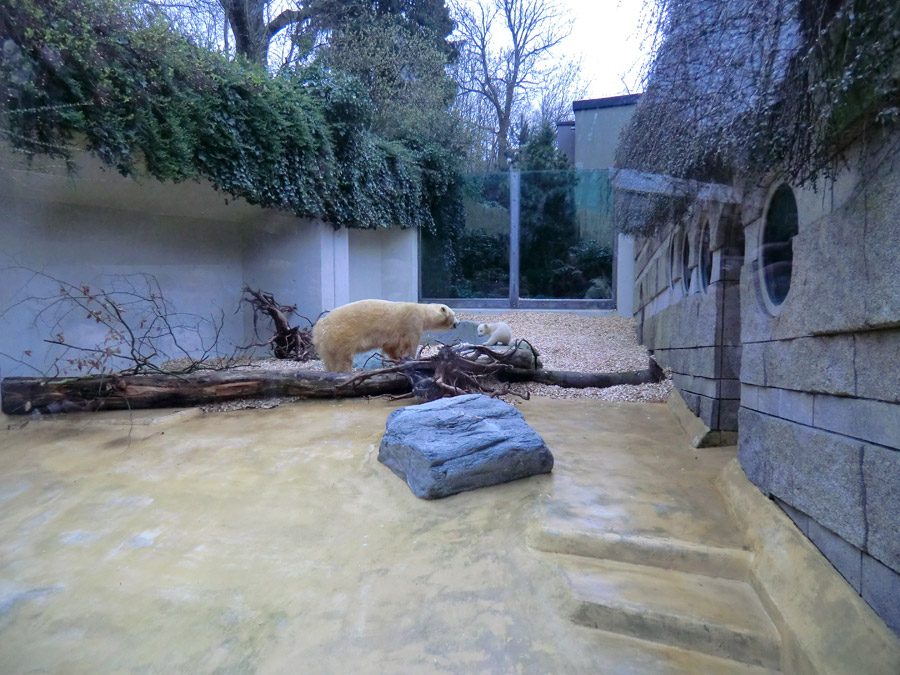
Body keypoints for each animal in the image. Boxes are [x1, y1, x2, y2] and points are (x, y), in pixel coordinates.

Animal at [314, 302, 458, 374]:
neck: (423, 311)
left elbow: (392, 347)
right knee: (343, 357)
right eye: (454, 314)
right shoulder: (412, 322)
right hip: (342, 333)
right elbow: (409, 343)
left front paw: (398, 360)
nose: (458, 323)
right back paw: (344, 372)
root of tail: (319, 327)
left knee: (330, 358)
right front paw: (412, 358)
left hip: (326, 343)